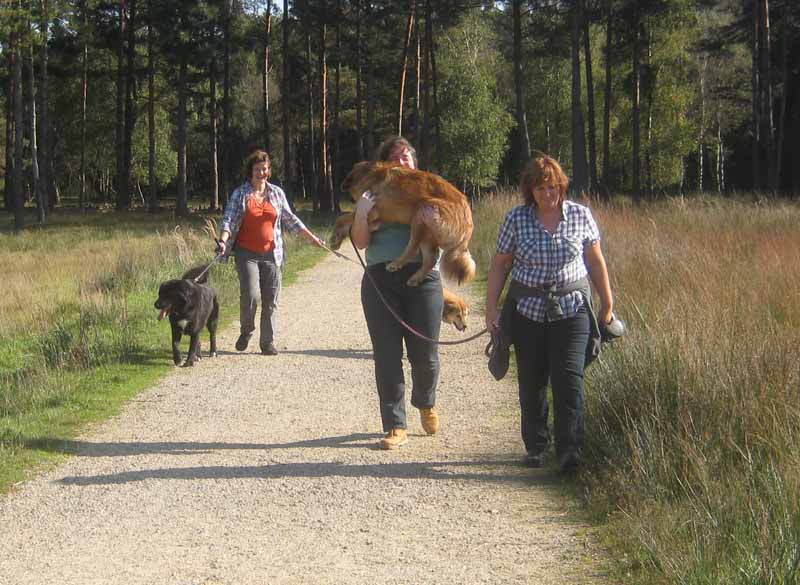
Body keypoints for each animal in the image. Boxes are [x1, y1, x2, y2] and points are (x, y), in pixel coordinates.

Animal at [332, 161, 476, 286]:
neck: (369, 174)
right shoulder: (374, 219)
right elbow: (349, 223)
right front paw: (338, 239)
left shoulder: (372, 212)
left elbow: (341, 219)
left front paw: (335, 238)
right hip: (427, 232)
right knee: (431, 259)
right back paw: (416, 277)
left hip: (421, 212)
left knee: (413, 249)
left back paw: (396, 264)